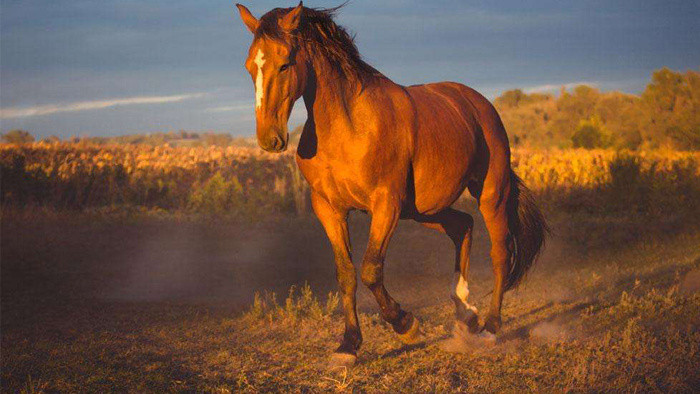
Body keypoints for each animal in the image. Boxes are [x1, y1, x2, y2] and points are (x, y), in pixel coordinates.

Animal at [235, 2, 548, 366]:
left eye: (284, 62)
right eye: (250, 66)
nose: (269, 139)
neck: (349, 125)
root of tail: (479, 104)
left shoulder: (386, 204)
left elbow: (371, 269)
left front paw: (405, 324)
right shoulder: (329, 208)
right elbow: (346, 274)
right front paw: (348, 346)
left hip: (490, 194)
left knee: (500, 253)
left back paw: (490, 327)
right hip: (425, 210)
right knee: (463, 226)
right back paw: (466, 313)